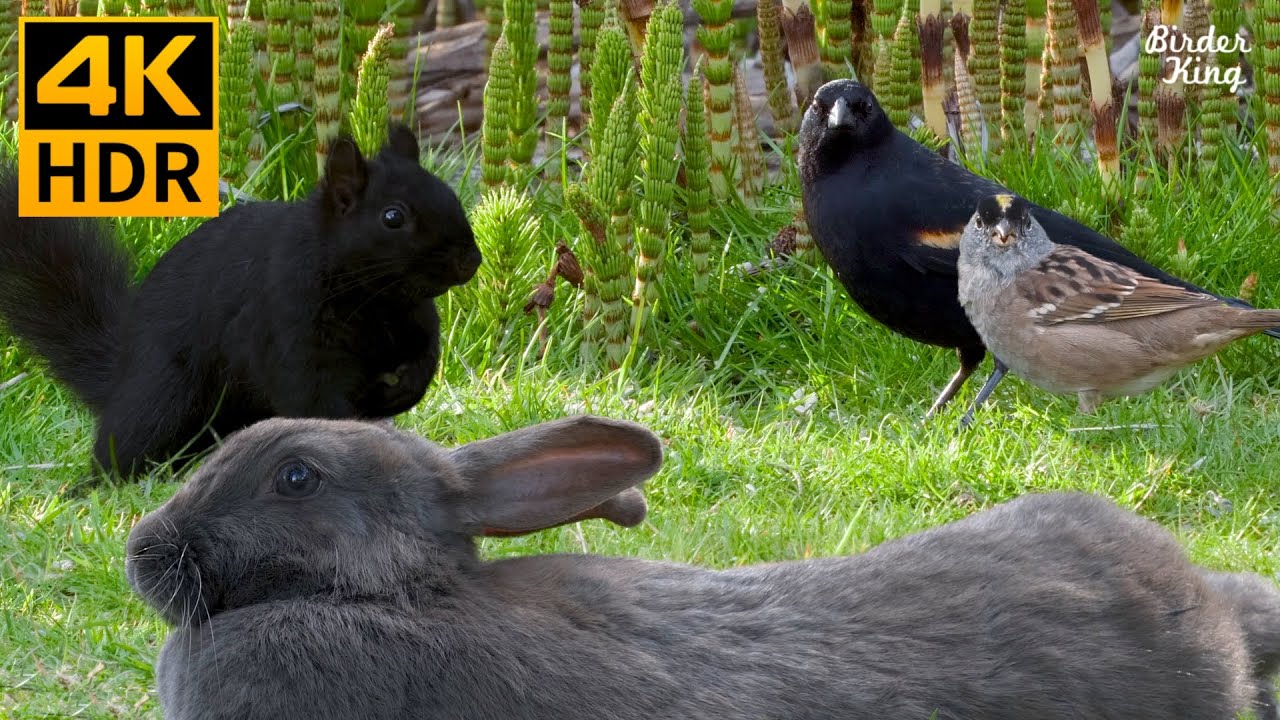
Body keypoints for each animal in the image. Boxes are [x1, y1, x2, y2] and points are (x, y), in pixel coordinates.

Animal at [0, 121, 481, 476]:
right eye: (393, 217)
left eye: (448, 192)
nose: (470, 259)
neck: (376, 299)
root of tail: (120, 371)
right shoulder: (289, 328)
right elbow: (315, 400)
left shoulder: (414, 322)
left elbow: (423, 360)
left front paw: (399, 394)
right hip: (162, 394)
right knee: (123, 443)